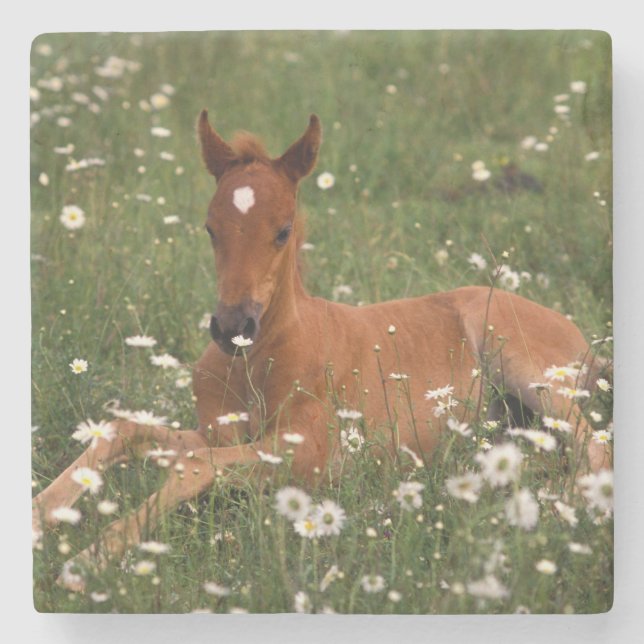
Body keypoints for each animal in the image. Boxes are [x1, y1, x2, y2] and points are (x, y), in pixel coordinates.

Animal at [32, 111, 610, 590]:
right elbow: (127, 433)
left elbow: (193, 466)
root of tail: (584, 340)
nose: (232, 327)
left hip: (523, 364)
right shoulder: (218, 432)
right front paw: (42, 512)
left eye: (283, 230)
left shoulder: (310, 453)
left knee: (594, 448)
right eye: (210, 228)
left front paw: (88, 559)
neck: (258, 362)